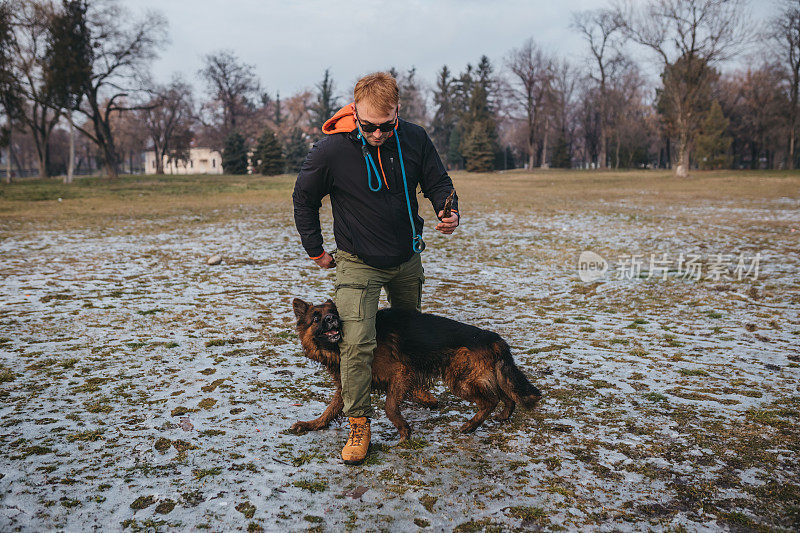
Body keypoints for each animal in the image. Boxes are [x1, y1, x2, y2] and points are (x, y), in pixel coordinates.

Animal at [290, 300, 540, 440]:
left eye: (334, 313)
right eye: (316, 317)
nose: (331, 319)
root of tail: (493, 338)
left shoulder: (401, 373)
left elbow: (390, 407)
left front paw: (403, 430)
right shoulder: (350, 383)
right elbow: (329, 411)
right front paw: (312, 425)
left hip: (460, 380)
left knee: (491, 400)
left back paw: (471, 425)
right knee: (506, 395)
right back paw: (504, 416)